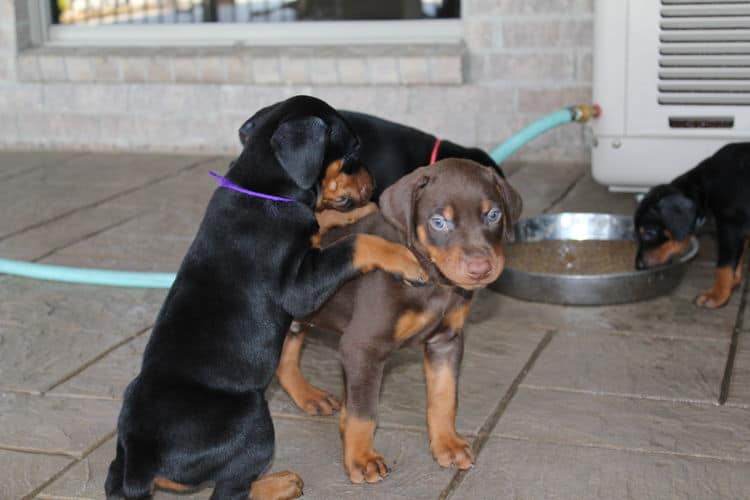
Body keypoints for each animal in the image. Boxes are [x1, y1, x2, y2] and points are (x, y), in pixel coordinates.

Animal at [104, 95, 428, 498]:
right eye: (353, 149)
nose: (374, 184)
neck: (260, 189)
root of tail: (143, 464)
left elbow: (323, 221)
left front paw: (361, 210)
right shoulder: (299, 289)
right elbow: (355, 244)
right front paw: (404, 257)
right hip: (254, 420)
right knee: (228, 490)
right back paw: (281, 482)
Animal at [276, 158, 524, 482]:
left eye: (493, 214)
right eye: (438, 222)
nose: (481, 269)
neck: (432, 280)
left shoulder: (446, 342)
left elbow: (444, 396)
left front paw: (447, 444)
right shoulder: (362, 347)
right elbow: (363, 411)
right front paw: (361, 458)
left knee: (286, 355)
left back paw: (309, 396)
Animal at [636, 142, 750, 308]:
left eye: (649, 232)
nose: (638, 266)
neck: (706, 189)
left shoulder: (730, 228)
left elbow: (724, 266)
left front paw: (717, 295)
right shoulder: (741, 230)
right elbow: (737, 260)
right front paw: (732, 283)